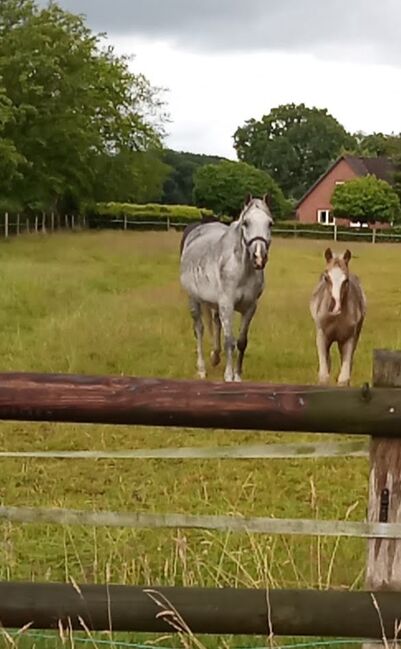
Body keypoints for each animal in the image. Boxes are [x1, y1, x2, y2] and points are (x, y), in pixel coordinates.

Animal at [180, 194, 273, 382]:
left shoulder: (250, 308)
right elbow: (229, 340)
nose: (259, 257)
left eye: (270, 223)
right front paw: (229, 375)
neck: (241, 269)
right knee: (199, 329)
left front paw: (237, 375)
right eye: (246, 222)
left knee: (216, 324)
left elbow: (242, 342)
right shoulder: (227, 305)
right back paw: (202, 368)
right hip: (193, 299)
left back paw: (215, 356)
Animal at [310, 247, 366, 387]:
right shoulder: (322, 336)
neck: (335, 319)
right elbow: (323, 376)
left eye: (346, 280)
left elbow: (344, 378)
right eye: (326, 277)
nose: (335, 307)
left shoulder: (348, 339)